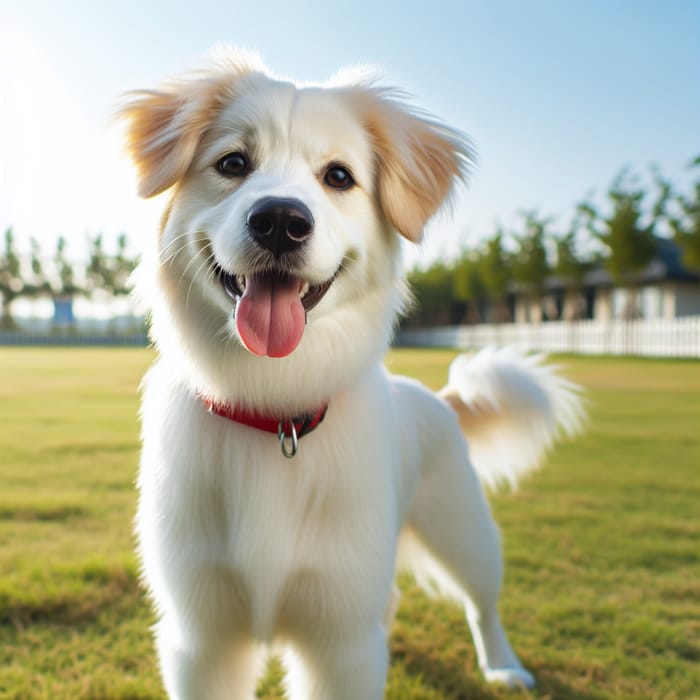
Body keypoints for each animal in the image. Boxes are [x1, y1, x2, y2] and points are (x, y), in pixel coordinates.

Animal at [120, 50, 584, 700]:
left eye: (338, 177)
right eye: (233, 163)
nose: (280, 220)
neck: (275, 406)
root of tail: (437, 395)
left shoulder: (338, 641)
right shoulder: (203, 638)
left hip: (464, 530)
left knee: (482, 602)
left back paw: (504, 666)